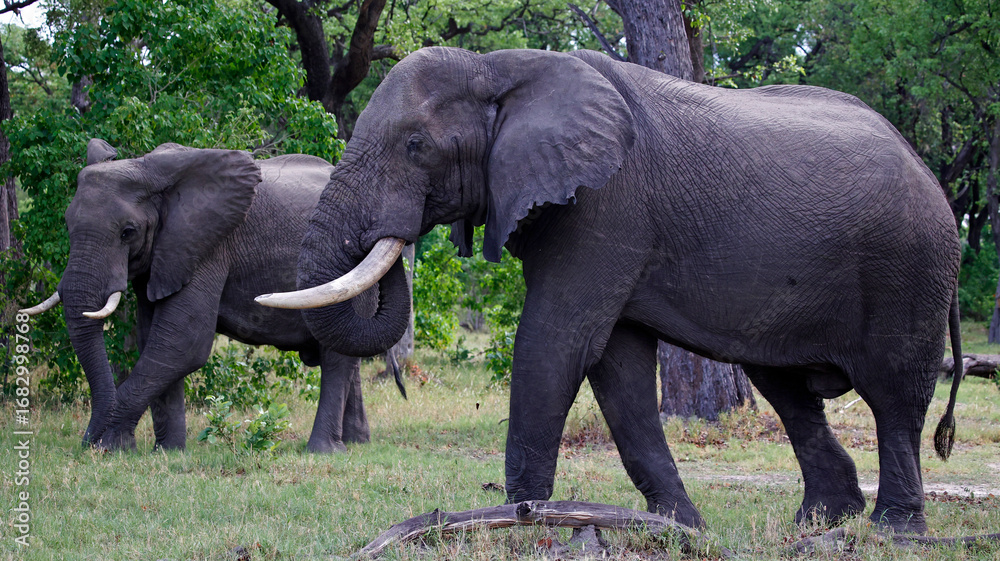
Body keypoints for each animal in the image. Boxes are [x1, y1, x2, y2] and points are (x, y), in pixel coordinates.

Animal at [22, 139, 398, 453]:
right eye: (67, 225)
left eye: (128, 232)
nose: (86, 442)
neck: (148, 170)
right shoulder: (166, 253)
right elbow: (154, 341)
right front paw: (168, 453)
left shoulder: (209, 247)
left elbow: (181, 343)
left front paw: (111, 448)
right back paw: (357, 443)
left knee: (337, 358)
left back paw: (323, 451)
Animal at [257, 47, 964, 534]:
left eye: (415, 145)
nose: (397, 237)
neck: (501, 68)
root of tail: (927, 170)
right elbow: (616, 364)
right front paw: (678, 528)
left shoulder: (607, 204)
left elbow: (556, 343)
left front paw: (519, 524)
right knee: (787, 389)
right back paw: (820, 522)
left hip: (912, 266)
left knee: (895, 391)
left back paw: (893, 532)